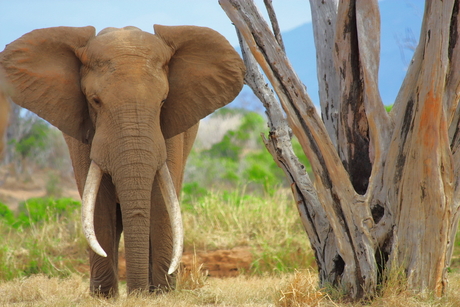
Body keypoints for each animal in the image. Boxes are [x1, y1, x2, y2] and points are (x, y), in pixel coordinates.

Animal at [0, 24, 246, 296]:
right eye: (95, 101)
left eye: (163, 101)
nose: (137, 293)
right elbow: (99, 201)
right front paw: (104, 296)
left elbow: (160, 201)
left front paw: (161, 294)